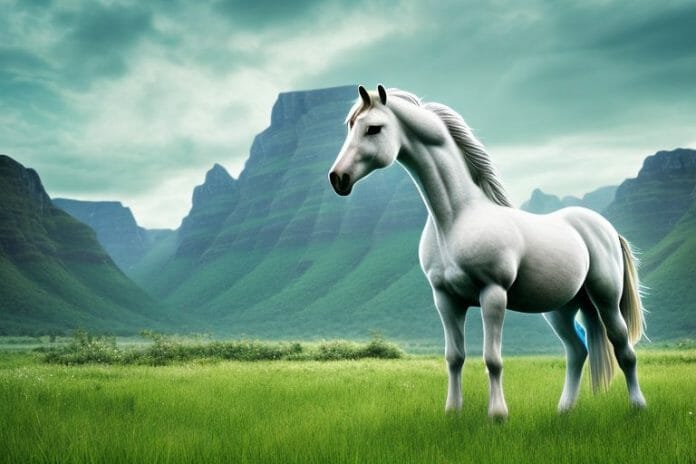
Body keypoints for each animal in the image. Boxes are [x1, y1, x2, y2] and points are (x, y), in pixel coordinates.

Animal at [328, 85, 646, 419]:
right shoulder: (445, 299)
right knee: (577, 351)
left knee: (624, 349)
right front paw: (453, 411)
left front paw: (497, 414)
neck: (457, 218)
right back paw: (564, 410)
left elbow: (492, 359)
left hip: (605, 298)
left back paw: (637, 406)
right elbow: (454, 357)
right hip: (562, 308)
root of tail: (605, 228)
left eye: (373, 128)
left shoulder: (493, 294)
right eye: (351, 126)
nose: (338, 178)